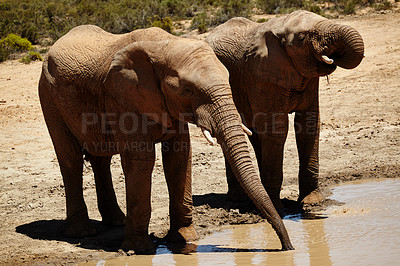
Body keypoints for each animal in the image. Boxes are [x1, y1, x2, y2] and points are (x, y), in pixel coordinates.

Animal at [38, 25, 294, 254]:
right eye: (188, 91)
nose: (287, 248)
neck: (165, 45)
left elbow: (179, 156)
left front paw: (185, 240)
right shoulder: (123, 97)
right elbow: (141, 160)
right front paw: (138, 249)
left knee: (101, 158)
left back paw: (116, 222)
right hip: (49, 97)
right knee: (70, 159)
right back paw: (82, 233)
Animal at [206, 10, 366, 214]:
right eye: (303, 38)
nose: (333, 55)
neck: (280, 25)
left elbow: (309, 125)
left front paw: (312, 202)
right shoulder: (261, 75)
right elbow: (277, 130)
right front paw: (277, 208)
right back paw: (239, 199)